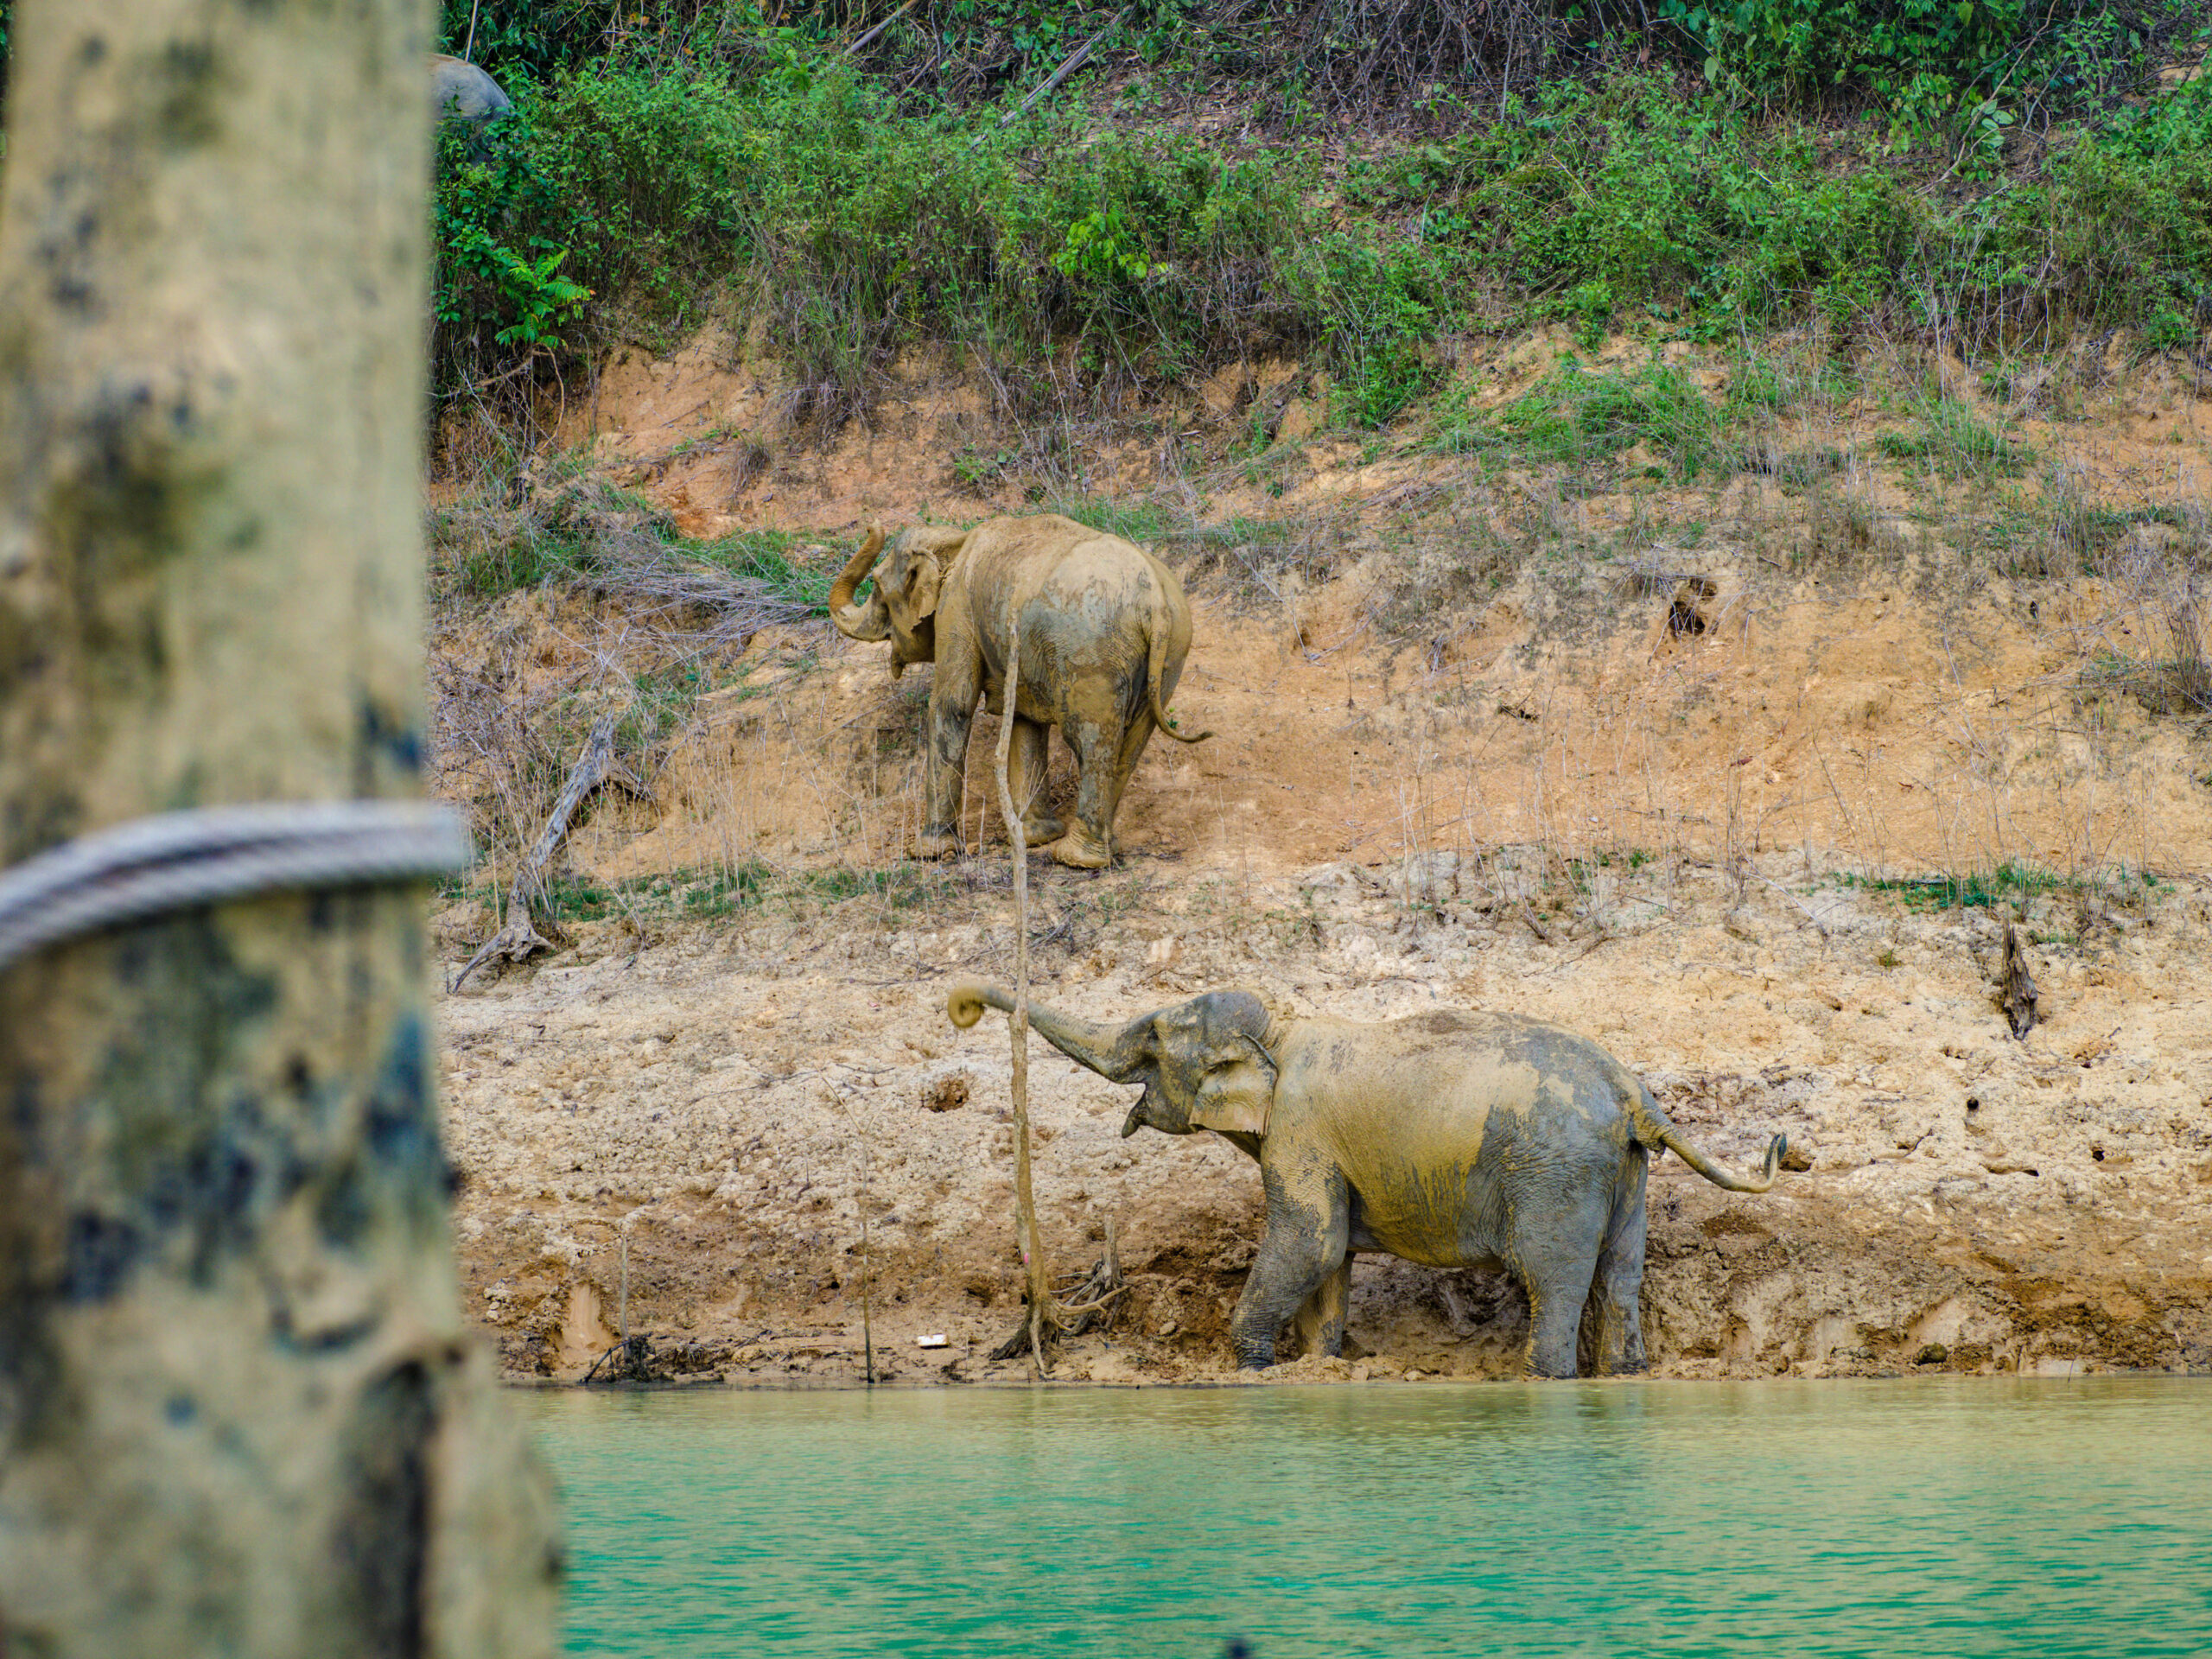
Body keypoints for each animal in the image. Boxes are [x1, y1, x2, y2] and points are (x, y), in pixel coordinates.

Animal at [828, 515, 1208, 869]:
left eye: (876, 585)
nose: (870, 523)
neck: (955, 541)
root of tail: (1155, 601)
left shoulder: (957, 608)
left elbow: (953, 704)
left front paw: (930, 853)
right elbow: (1026, 722)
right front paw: (1034, 836)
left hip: (1092, 656)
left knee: (1090, 741)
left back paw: (1075, 858)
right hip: (1171, 654)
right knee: (1131, 746)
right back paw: (1104, 848)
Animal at [947, 983, 1788, 1377]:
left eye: (1151, 1042)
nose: (961, 1009)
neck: (1280, 1027)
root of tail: (1636, 1094)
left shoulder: (1299, 1131)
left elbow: (1311, 1243)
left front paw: (1249, 1364)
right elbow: (1332, 1262)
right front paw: (1320, 1365)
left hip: (1558, 1172)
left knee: (1553, 1276)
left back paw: (1544, 1379)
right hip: (1626, 1174)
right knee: (1621, 1275)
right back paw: (1625, 1375)